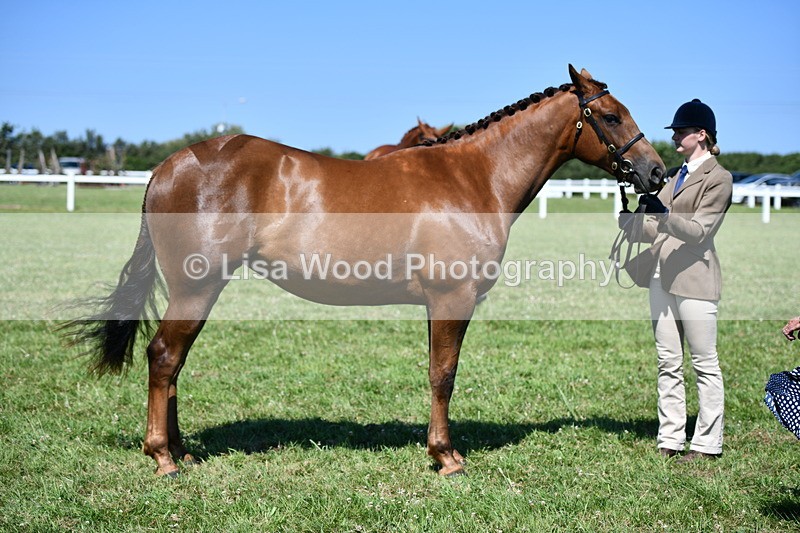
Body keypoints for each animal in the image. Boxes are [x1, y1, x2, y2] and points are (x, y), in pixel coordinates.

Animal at [65, 65, 665, 478]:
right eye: (611, 115)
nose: (656, 172)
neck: (473, 177)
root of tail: (169, 167)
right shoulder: (452, 298)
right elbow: (444, 375)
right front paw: (446, 457)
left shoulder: (437, 304)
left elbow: (436, 373)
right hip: (197, 286)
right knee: (165, 357)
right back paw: (163, 457)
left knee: (173, 362)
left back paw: (183, 451)